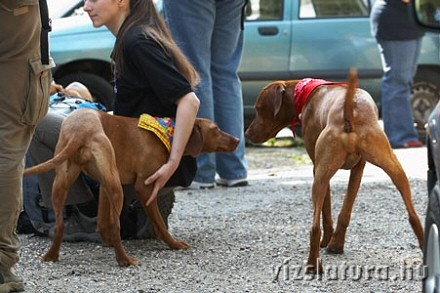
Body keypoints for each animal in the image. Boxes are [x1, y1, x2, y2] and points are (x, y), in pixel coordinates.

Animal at [24, 108, 239, 266]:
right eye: (216, 129)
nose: (238, 140)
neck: (167, 132)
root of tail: (80, 130)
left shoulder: (105, 184)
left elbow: (102, 219)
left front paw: (105, 241)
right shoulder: (144, 187)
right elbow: (159, 223)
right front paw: (174, 244)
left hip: (69, 182)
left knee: (61, 223)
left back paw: (52, 255)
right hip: (116, 188)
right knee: (115, 224)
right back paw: (124, 260)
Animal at [246, 69, 424, 272]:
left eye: (259, 108)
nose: (246, 134)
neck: (304, 93)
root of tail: (349, 112)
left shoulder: (317, 169)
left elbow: (326, 211)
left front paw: (327, 241)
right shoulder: (358, 169)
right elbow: (344, 211)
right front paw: (336, 244)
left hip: (320, 178)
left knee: (314, 227)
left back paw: (312, 264)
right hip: (396, 170)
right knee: (413, 216)